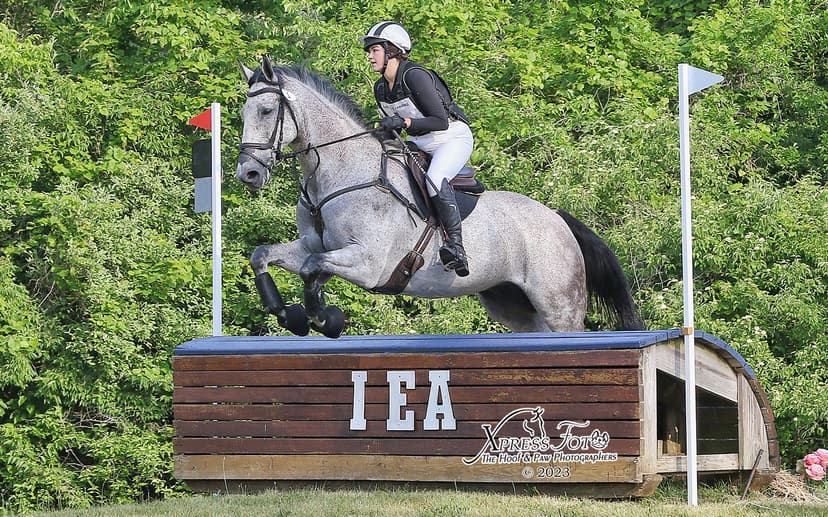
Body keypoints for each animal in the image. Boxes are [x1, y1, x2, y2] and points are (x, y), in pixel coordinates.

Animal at [235, 55, 644, 338]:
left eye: (267, 110)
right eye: (242, 112)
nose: (248, 174)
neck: (341, 173)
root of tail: (558, 218)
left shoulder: (367, 263)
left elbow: (311, 268)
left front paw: (324, 319)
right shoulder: (313, 245)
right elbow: (264, 256)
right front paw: (290, 315)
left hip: (560, 305)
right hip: (513, 305)